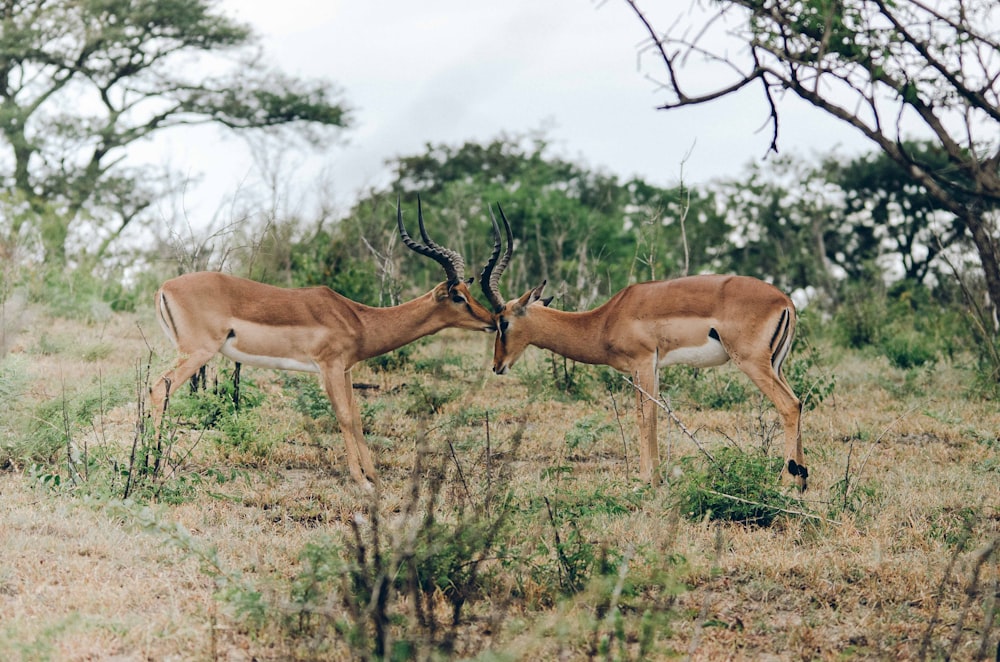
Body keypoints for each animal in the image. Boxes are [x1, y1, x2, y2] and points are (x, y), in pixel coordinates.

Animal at [149, 200, 496, 490]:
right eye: (458, 296)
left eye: (469, 291)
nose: (492, 320)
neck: (358, 319)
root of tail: (164, 287)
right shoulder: (328, 367)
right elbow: (342, 416)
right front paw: (360, 481)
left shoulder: (346, 370)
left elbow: (357, 418)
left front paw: (375, 477)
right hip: (197, 353)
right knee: (158, 387)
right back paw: (158, 468)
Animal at [480, 209, 808, 492]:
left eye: (503, 322)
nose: (497, 365)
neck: (605, 319)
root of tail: (785, 301)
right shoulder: (654, 368)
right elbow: (653, 414)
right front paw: (655, 477)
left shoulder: (641, 363)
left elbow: (644, 415)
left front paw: (645, 479)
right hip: (775, 365)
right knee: (799, 401)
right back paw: (802, 478)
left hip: (752, 363)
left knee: (788, 405)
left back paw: (786, 482)